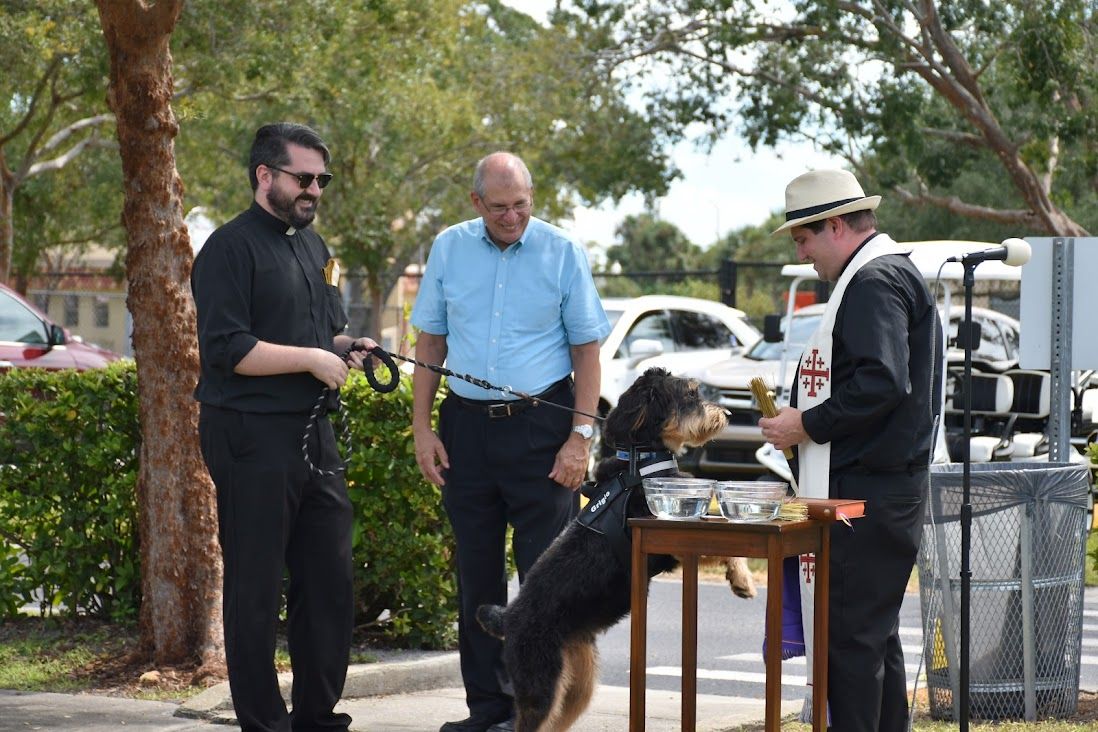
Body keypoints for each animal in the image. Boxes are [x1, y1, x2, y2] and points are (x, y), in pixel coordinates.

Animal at [474, 368, 755, 728]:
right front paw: (743, 580)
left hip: (578, 684)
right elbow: (723, 544)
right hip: (541, 685)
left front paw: (740, 578)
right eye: (691, 394)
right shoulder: (672, 535)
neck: (642, 461)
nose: (729, 414)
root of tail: (508, 618)